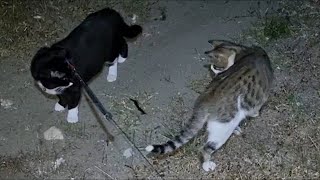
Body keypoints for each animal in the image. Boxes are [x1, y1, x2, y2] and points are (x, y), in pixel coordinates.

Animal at [146, 40, 274, 172]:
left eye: (215, 67)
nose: (214, 73)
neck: (245, 52)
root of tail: (203, 101)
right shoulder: (262, 95)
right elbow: (256, 107)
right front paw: (255, 113)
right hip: (222, 129)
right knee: (205, 148)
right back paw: (207, 164)